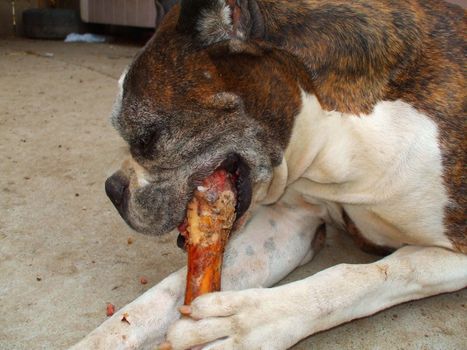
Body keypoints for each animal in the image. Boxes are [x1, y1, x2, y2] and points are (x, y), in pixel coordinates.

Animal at [71, 0, 466, 350]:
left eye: (146, 138)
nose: (112, 189)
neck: (338, 139)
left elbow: (362, 277)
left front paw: (247, 321)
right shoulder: (287, 225)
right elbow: (162, 295)